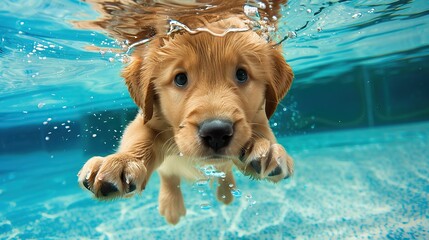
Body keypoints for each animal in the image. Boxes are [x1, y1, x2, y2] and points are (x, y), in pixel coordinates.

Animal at [76, 0, 290, 225]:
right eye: (180, 79)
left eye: (242, 74)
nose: (216, 132)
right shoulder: (149, 120)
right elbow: (139, 138)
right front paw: (122, 161)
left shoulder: (259, 117)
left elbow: (263, 133)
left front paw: (264, 149)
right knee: (170, 179)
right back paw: (172, 207)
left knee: (223, 173)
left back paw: (225, 194)